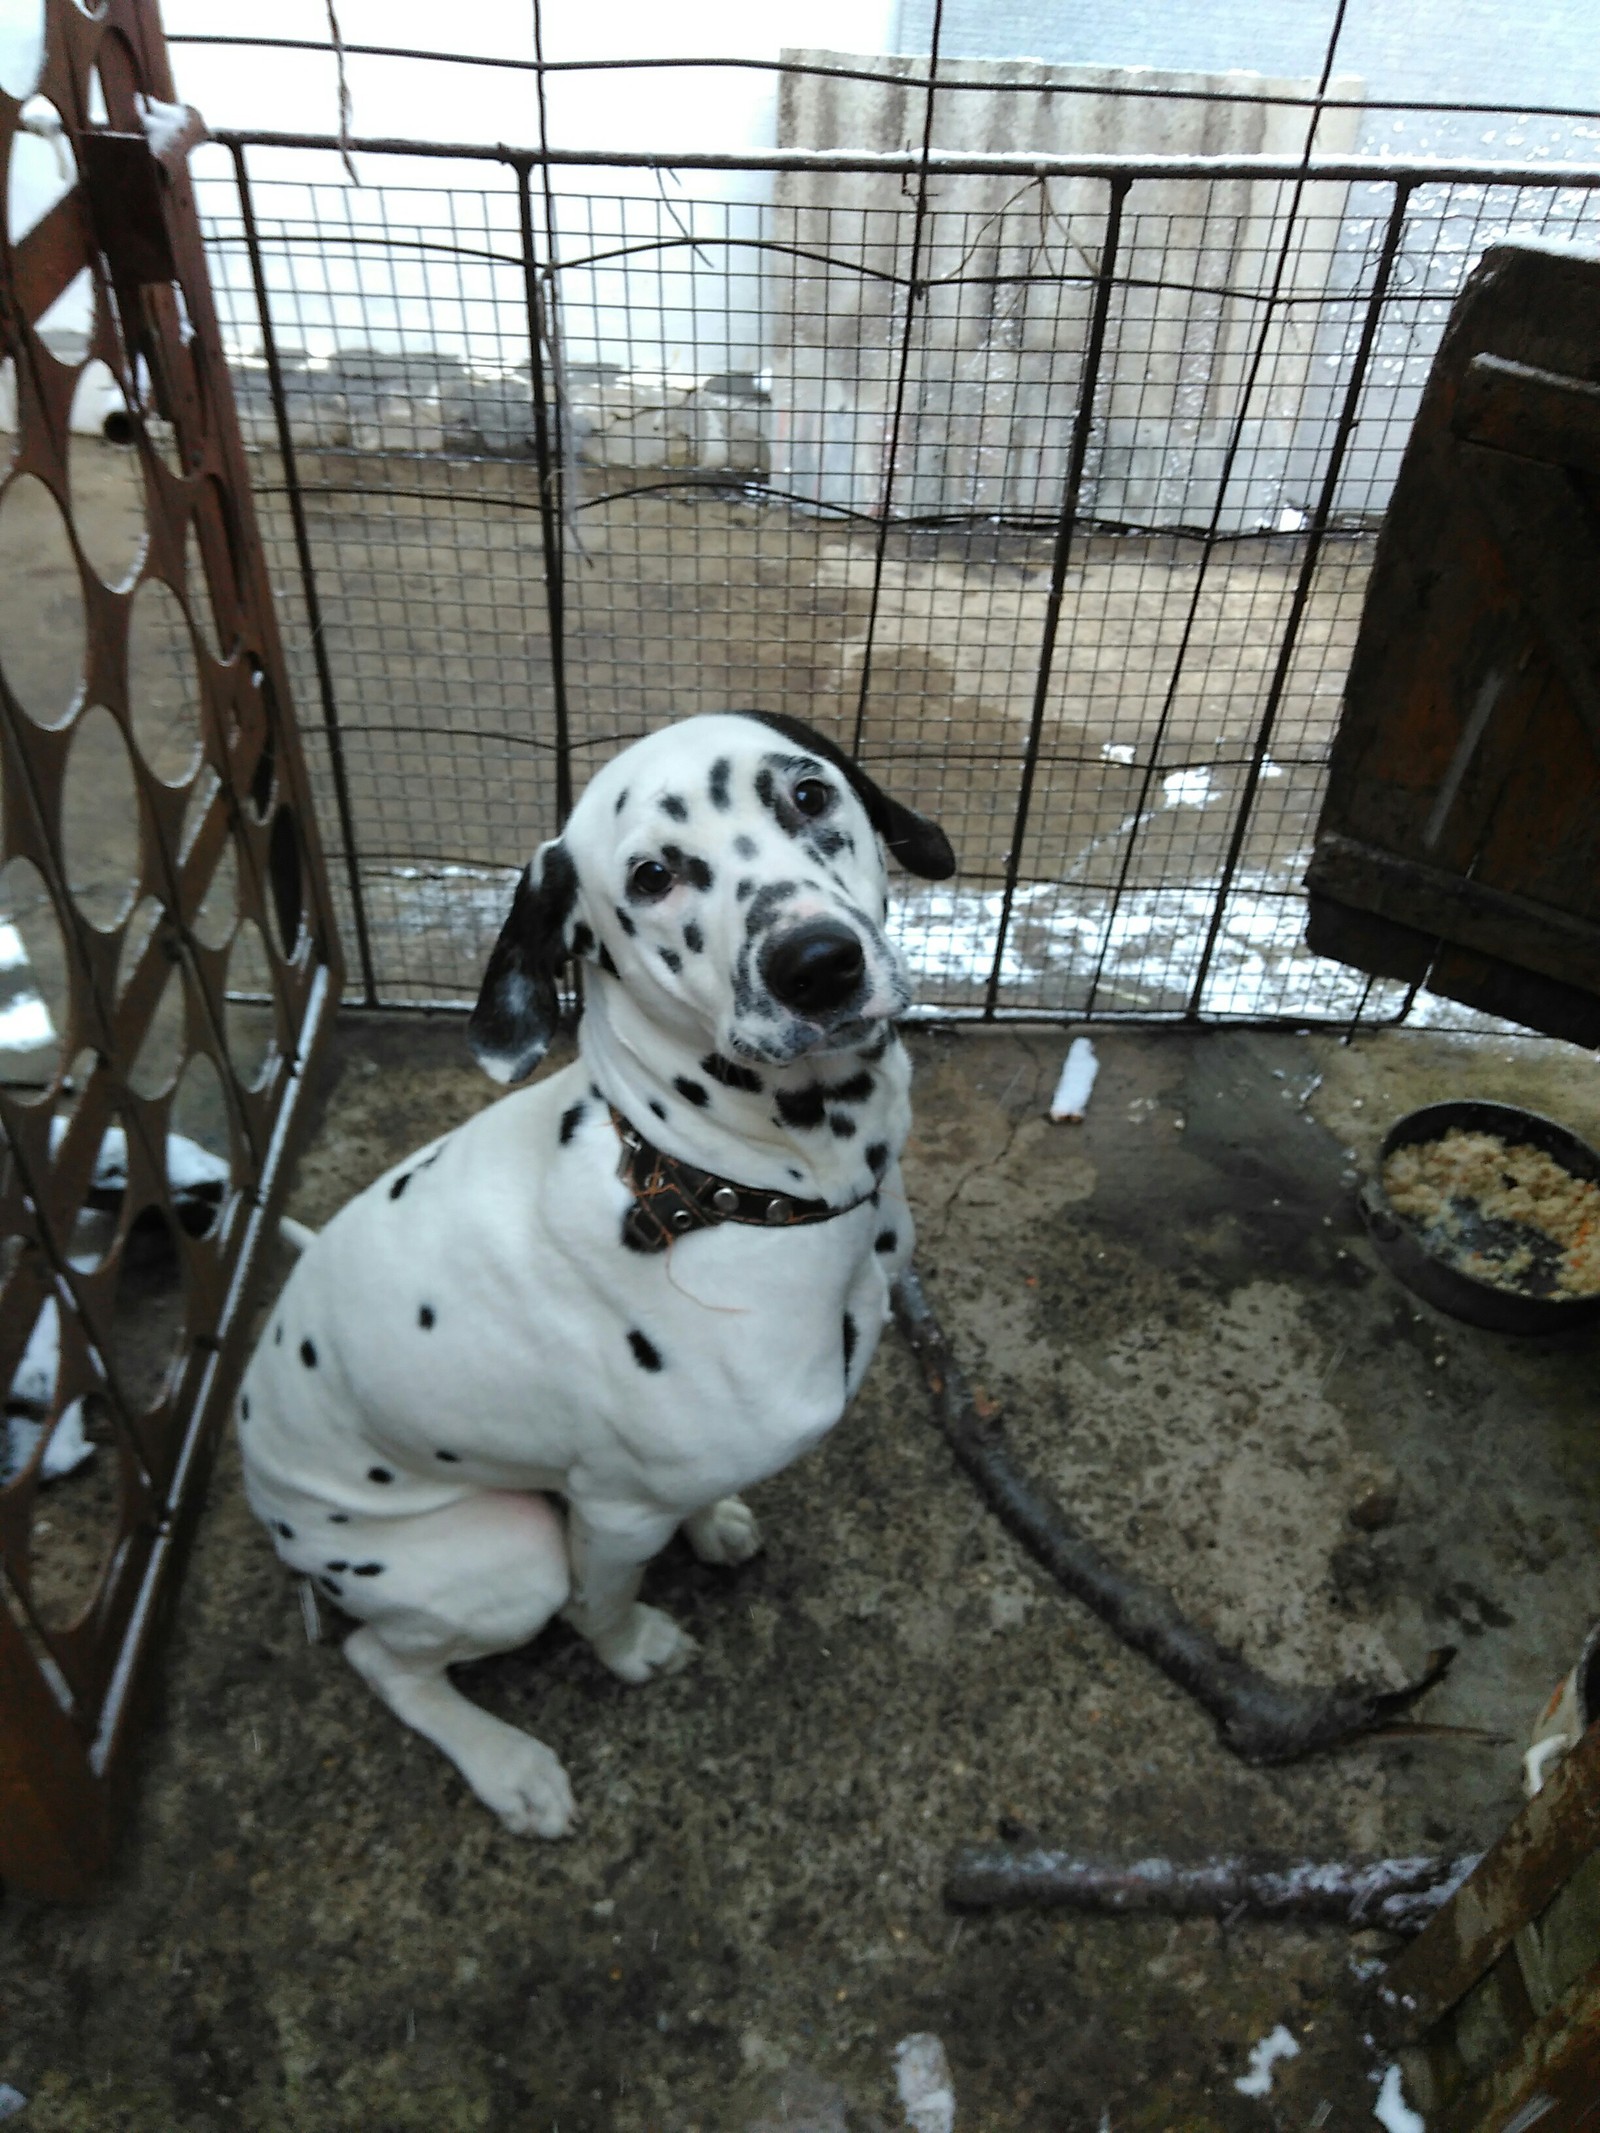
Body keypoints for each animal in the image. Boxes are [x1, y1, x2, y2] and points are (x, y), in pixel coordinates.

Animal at [236, 712, 960, 1834]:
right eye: (654, 875)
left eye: (806, 794)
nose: (816, 963)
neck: (709, 1184)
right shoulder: (610, 1516)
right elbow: (602, 1601)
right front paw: (632, 1649)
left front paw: (714, 1521)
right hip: (495, 1562)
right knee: (383, 1658)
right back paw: (507, 1764)